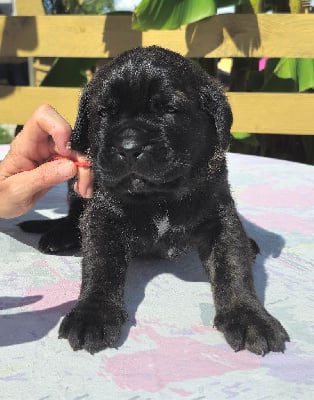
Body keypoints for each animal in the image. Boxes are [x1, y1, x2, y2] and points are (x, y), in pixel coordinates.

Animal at [20, 45, 290, 354]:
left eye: (170, 110)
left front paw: (249, 317)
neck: (160, 198)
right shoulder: (102, 216)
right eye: (103, 113)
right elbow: (101, 265)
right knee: (74, 214)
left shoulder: (220, 217)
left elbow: (233, 266)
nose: (128, 147)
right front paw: (93, 314)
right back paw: (60, 235)